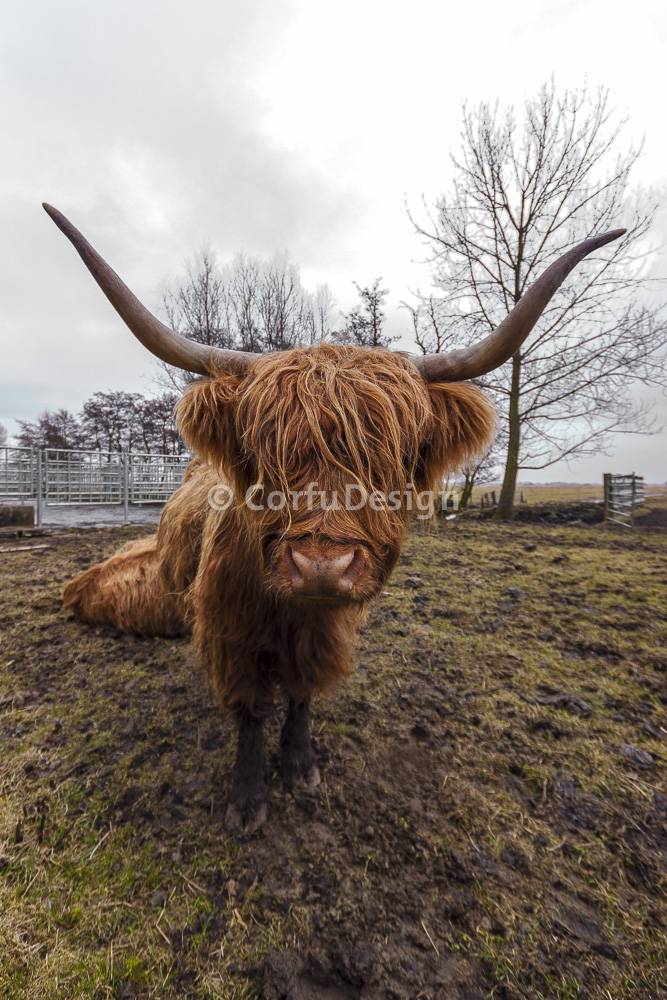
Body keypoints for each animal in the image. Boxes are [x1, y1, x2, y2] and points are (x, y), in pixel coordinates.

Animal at [43, 205, 628, 836]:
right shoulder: (231, 633)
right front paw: (247, 798)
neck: (289, 612)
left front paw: (300, 766)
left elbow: (301, 694)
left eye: (393, 453)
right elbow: (250, 710)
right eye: (265, 450)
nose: (322, 567)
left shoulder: (325, 633)